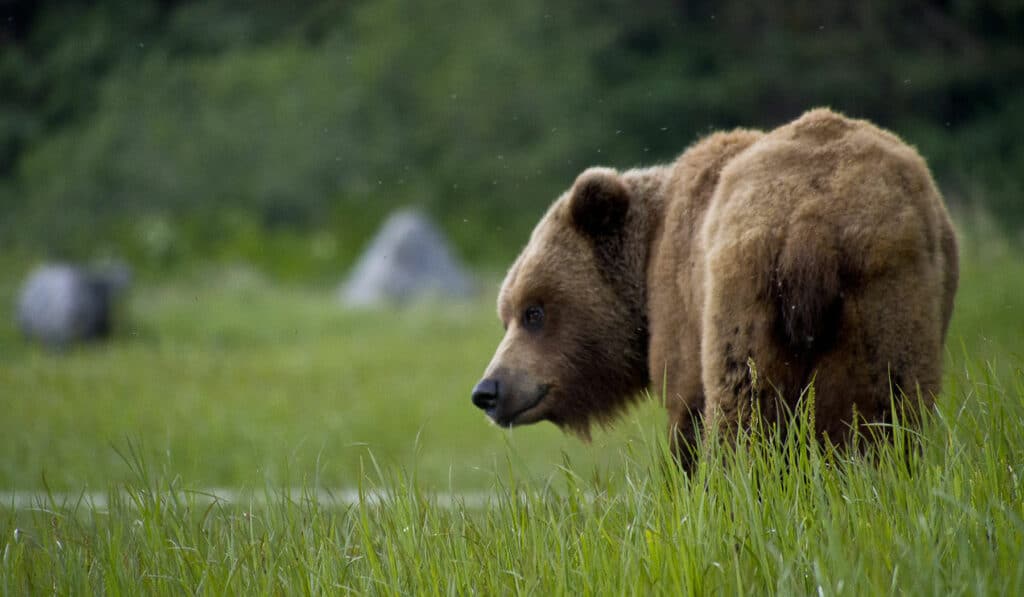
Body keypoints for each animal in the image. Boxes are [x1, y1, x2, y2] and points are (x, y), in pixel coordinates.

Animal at [471, 109, 958, 468]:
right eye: (506, 313)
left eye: (534, 311)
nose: (487, 390)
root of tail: (811, 222)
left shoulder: (681, 307)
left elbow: (687, 409)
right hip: (884, 292)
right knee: (885, 409)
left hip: (745, 291)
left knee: (744, 410)